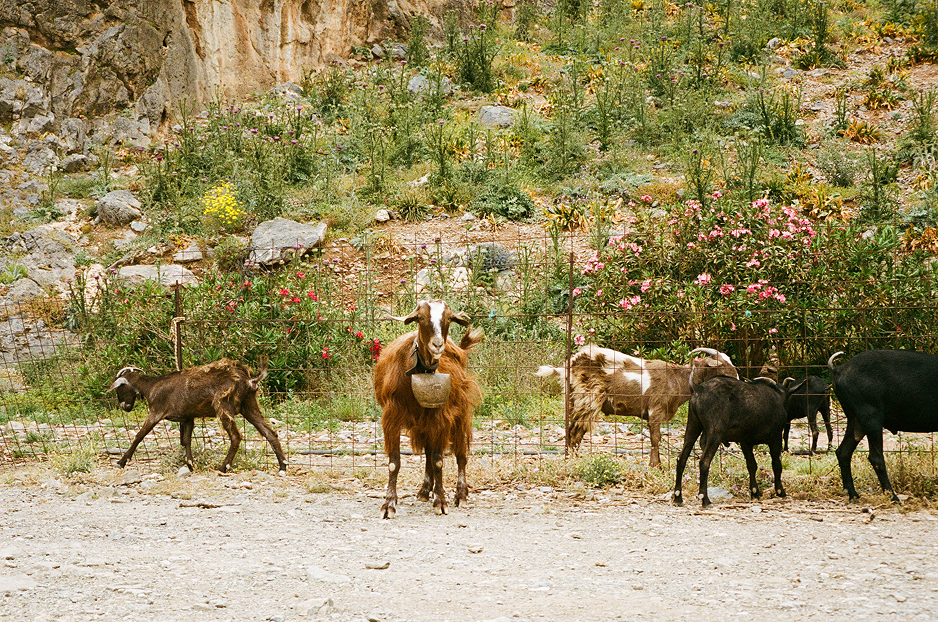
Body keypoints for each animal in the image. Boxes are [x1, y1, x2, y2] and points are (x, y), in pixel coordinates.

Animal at [108, 358, 287, 475]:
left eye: (119, 389)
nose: (125, 407)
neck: (151, 387)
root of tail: (249, 380)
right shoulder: (188, 417)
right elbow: (186, 440)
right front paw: (190, 465)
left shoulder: (156, 412)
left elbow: (139, 436)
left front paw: (121, 462)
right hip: (249, 405)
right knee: (270, 433)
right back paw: (283, 467)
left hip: (224, 405)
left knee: (236, 436)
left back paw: (223, 467)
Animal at [374, 299, 483, 518]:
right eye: (421, 318)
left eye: (448, 318)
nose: (438, 344)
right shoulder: (391, 416)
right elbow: (394, 463)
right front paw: (389, 504)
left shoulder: (441, 415)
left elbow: (438, 460)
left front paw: (441, 501)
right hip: (423, 422)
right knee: (428, 451)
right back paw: (425, 490)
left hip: (460, 412)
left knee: (461, 455)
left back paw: (461, 495)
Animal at [535, 345, 738, 467]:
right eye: (723, 366)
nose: (737, 379)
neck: (677, 379)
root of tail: (569, 365)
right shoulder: (655, 410)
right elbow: (655, 439)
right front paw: (656, 465)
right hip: (588, 398)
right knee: (576, 431)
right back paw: (573, 461)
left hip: (573, 399)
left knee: (571, 430)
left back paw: (569, 458)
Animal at [673, 364, 788, 507]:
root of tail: (699, 388)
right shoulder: (775, 437)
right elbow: (776, 464)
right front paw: (780, 491)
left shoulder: (745, 442)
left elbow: (752, 465)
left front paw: (755, 492)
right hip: (714, 434)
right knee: (704, 462)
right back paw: (705, 499)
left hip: (693, 427)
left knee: (681, 459)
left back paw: (678, 497)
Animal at [829, 349, 938, 502]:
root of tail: (838, 369)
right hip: (871, 416)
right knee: (875, 457)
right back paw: (893, 497)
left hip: (855, 420)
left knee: (843, 452)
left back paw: (854, 495)